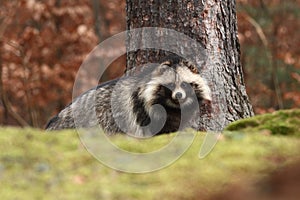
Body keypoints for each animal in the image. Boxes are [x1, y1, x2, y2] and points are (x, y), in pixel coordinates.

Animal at [45, 55, 212, 138]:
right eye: (170, 85)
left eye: (184, 84)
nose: (178, 95)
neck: (173, 106)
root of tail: (55, 119)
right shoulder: (146, 112)